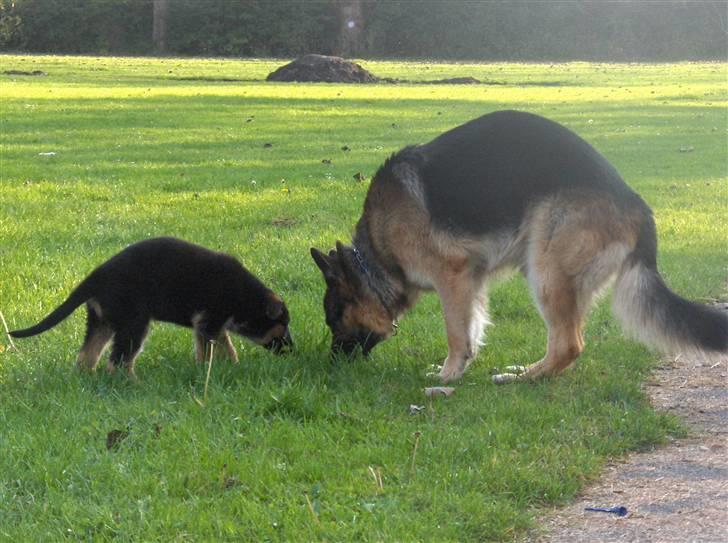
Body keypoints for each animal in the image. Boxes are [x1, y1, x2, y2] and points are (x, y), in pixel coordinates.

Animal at [9, 238, 292, 378]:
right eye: (284, 326)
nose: (292, 352)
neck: (248, 299)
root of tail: (95, 277)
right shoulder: (208, 322)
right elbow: (207, 352)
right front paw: (206, 372)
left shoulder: (214, 325)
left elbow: (226, 347)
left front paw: (231, 365)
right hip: (134, 323)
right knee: (117, 362)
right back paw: (134, 384)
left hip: (102, 321)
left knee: (87, 357)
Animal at [310, 109, 724, 382]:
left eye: (334, 319)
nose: (331, 364)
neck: (376, 257)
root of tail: (635, 203)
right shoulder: (471, 281)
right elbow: (472, 328)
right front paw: (461, 367)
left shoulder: (450, 275)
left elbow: (455, 332)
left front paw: (446, 377)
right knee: (567, 343)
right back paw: (529, 371)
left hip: (545, 269)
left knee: (569, 345)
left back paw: (523, 379)